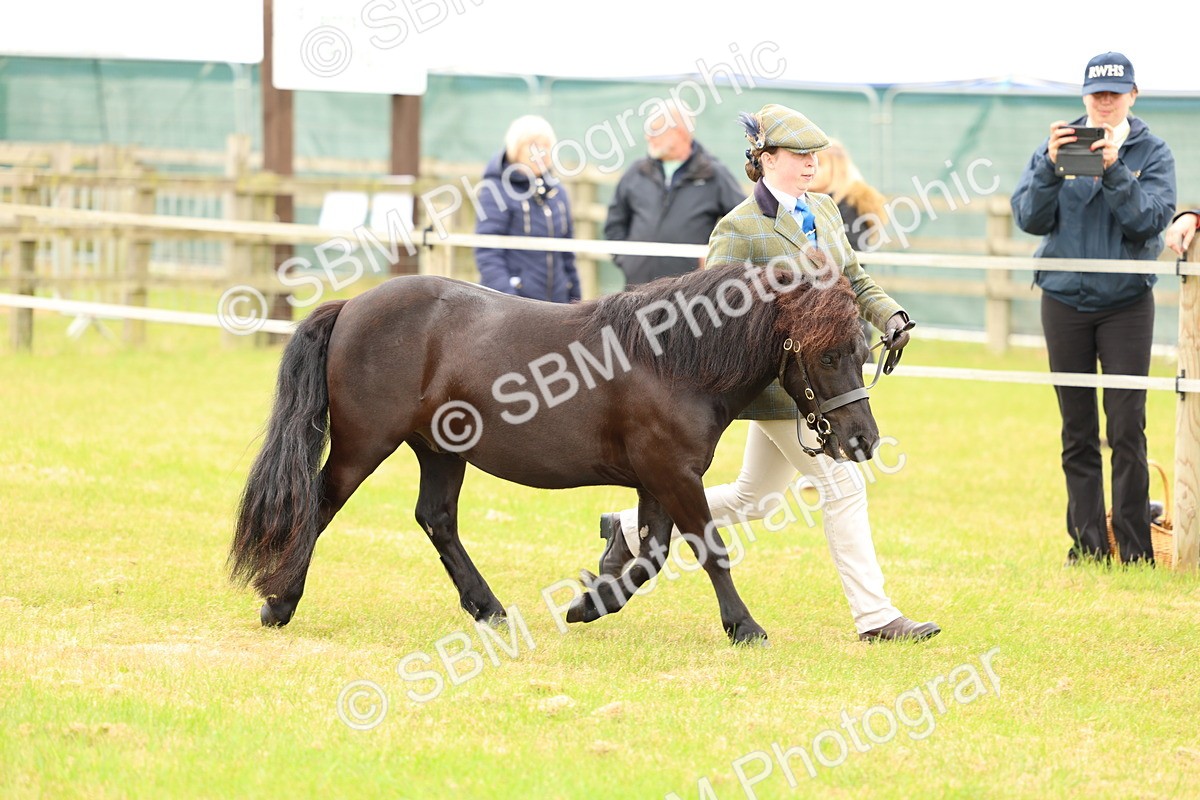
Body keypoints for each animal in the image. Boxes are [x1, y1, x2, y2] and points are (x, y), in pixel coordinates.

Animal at [228, 264, 879, 644]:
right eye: (826, 355)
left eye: (865, 348)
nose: (863, 440)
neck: (672, 360)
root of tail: (352, 307)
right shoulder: (673, 474)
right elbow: (710, 549)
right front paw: (744, 626)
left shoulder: (656, 480)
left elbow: (651, 556)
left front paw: (590, 604)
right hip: (364, 446)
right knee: (317, 507)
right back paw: (279, 603)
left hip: (440, 449)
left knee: (436, 519)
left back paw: (488, 608)